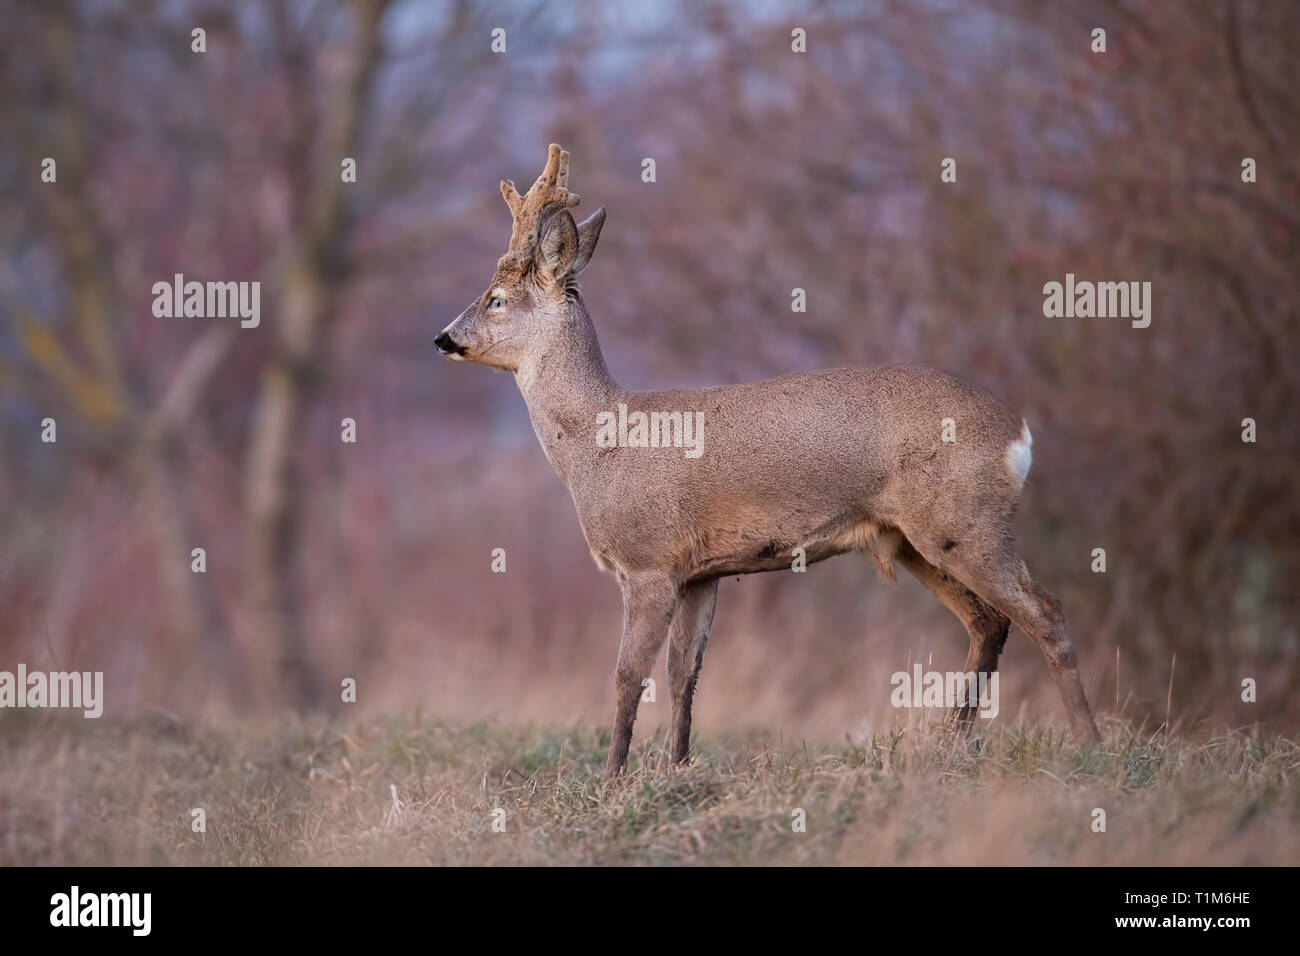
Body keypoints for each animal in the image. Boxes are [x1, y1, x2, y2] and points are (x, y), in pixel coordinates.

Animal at [434, 143, 1097, 780]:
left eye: (495, 299)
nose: (443, 338)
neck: (601, 440)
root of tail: (1019, 433)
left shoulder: (648, 561)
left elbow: (629, 677)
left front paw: (611, 778)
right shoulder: (700, 571)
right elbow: (684, 674)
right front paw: (678, 769)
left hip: (964, 520)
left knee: (1046, 611)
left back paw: (1087, 743)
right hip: (916, 539)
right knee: (988, 622)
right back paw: (952, 744)